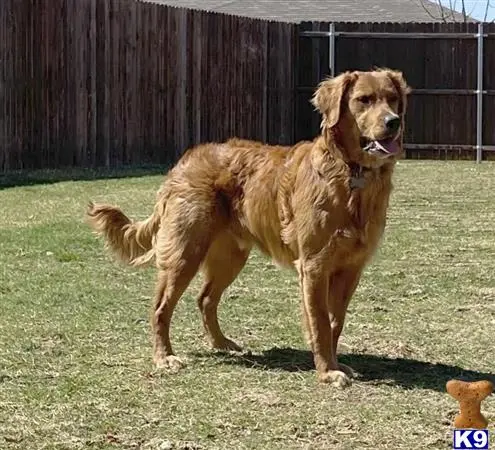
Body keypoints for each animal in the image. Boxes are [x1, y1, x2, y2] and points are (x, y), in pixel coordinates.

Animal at [88, 67, 410, 386]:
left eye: (393, 99)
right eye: (363, 100)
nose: (393, 122)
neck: (351, 173)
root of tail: (184, 162)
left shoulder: (352, 267)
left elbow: (334, 322)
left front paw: (336, 364)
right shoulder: (314, 265)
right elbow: (319, 322)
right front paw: (328, 371)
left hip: (230, 257)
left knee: (205, 299)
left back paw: (222, 344)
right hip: (185, 253)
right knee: (160, 309)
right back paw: (165, 356)